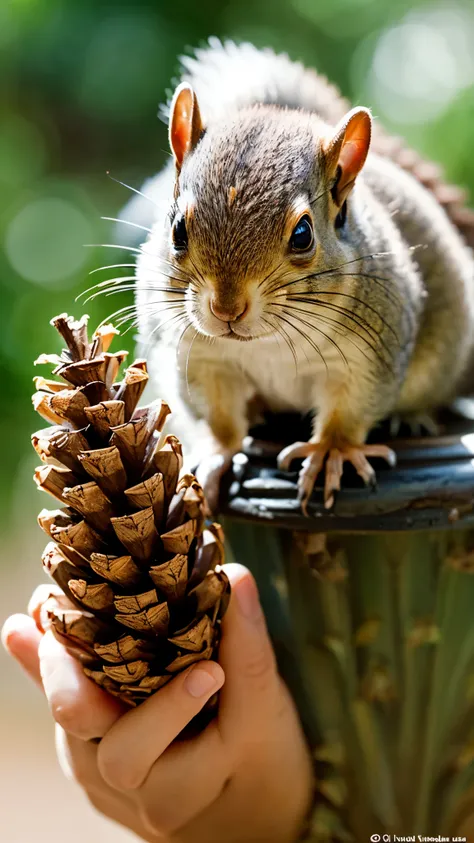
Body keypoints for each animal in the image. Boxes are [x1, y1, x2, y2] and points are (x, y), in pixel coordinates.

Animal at [131, 38, 474, 516]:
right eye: (177, 228)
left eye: (302, 234)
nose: (226, 308)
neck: (267, 344)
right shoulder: (202, 359)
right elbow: (220, 417)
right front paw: (216, 453)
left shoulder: (369, 354)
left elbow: (351, 408)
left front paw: (331, 451)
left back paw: (411, 418)